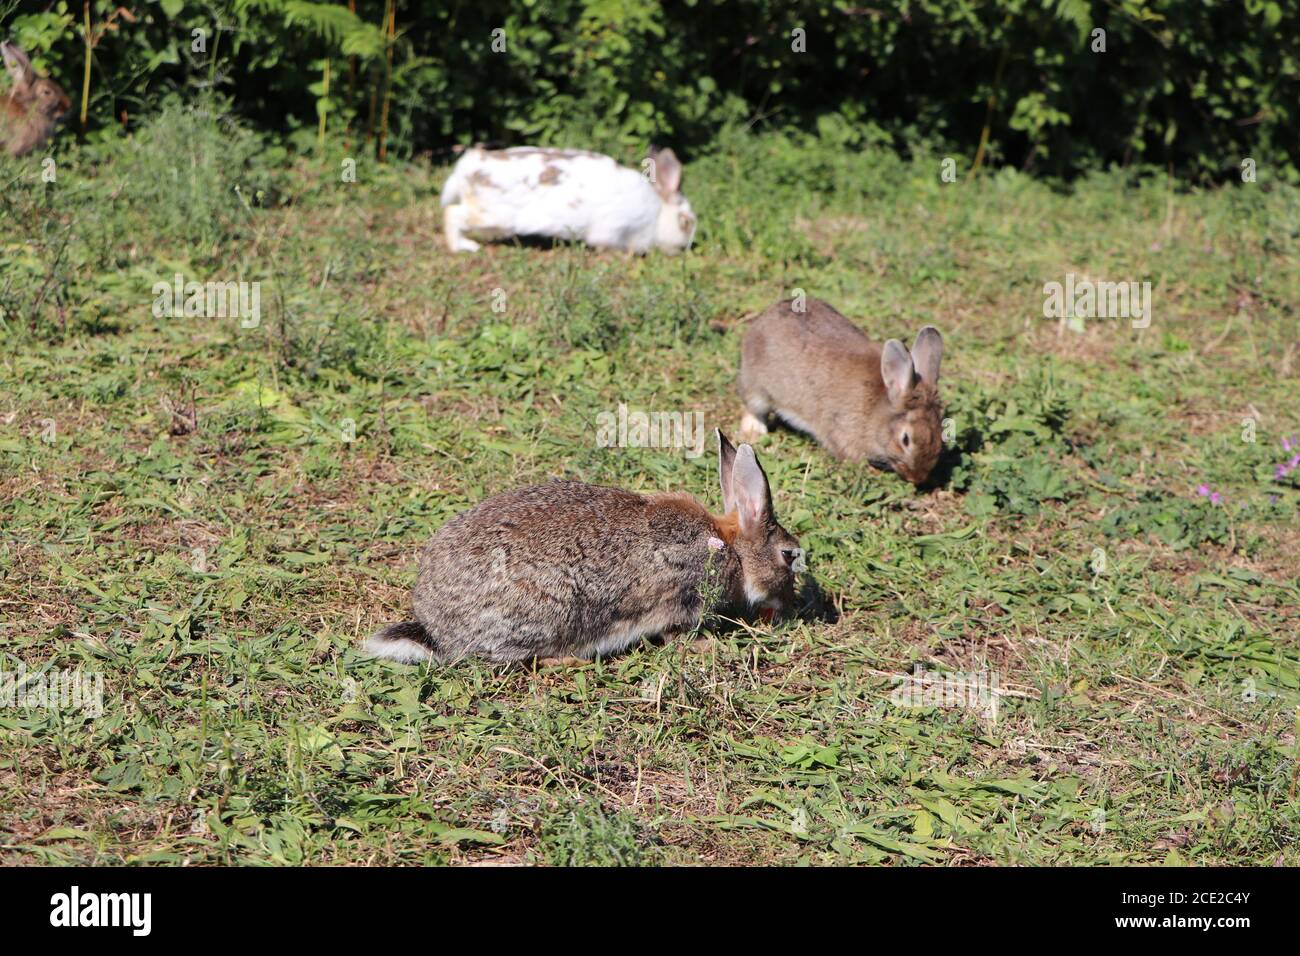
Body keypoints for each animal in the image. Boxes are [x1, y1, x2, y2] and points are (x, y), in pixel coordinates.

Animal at [440, 145, 696, 254]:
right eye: (685, 222)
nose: (686, 247)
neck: (658, 215)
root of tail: (466, 167)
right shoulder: (614, 230)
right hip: (492, 215)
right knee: (451, 214)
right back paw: (465, 247)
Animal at [737, 297, 945, 486]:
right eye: (905, 439)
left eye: (940, 432)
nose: (917, 478)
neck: (876, 412)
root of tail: (765, 317)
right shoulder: (841, 431)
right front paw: (871, 472)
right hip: (757, 388)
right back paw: (754, 432)